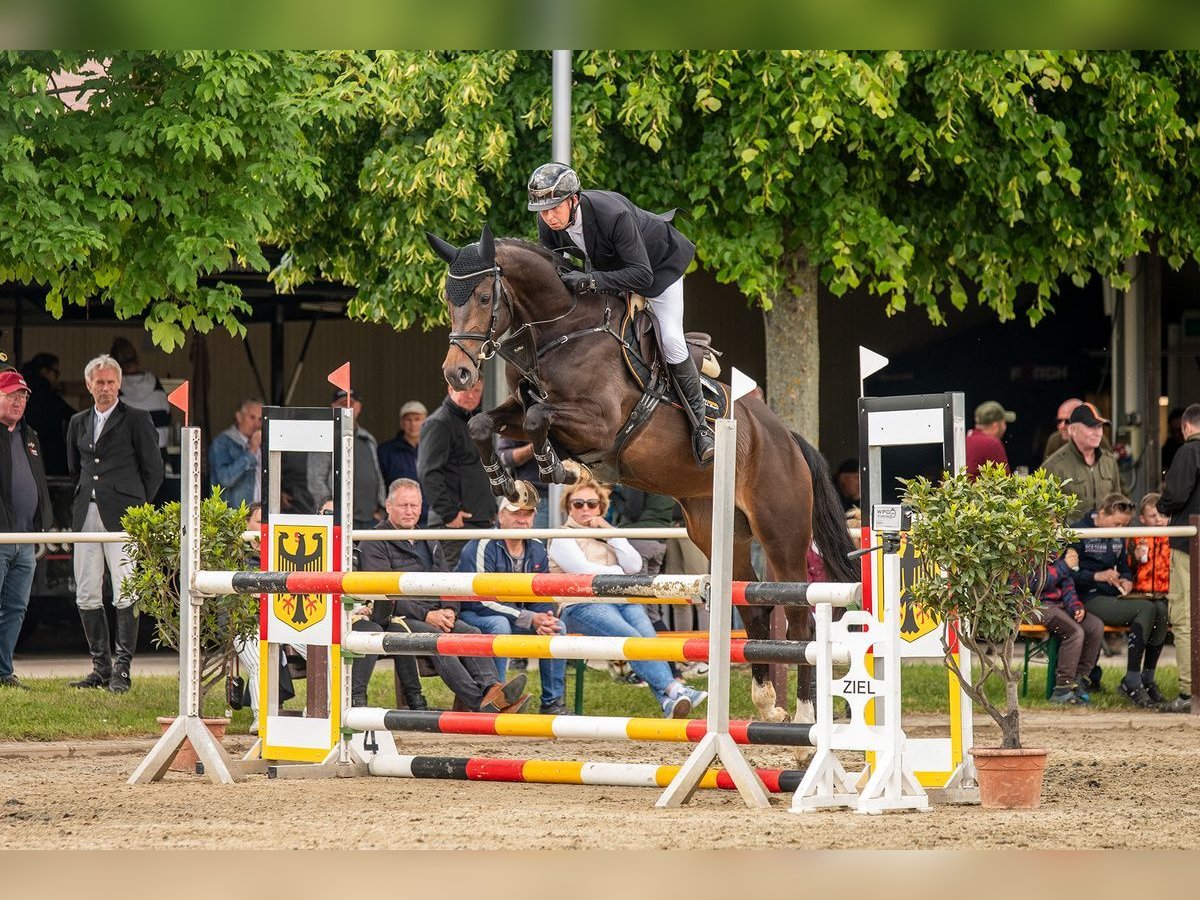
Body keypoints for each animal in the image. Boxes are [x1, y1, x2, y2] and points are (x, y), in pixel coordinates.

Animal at [425, 225, 857, 725]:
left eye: (481, 296)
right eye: (447, 299)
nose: (456, 374)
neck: (564, 331)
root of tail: (787, 437)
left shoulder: (598, 423)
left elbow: (538, 418)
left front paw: (553, 466)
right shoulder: (518, 410)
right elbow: (485, 423)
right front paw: (511, 486)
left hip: (780, 530)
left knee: (800, 613)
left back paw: (804, 714)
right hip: (716, 529)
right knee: (752, 609)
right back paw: (768, 705)